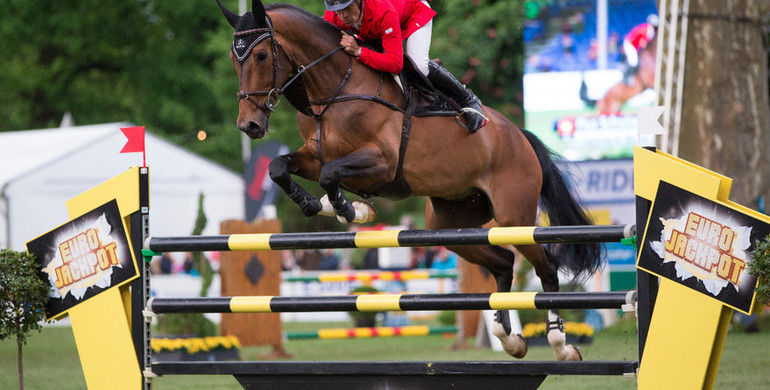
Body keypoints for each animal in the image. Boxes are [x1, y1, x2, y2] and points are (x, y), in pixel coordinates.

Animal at [216, 0, 600, 362]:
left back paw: (560, 344)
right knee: (504, 262)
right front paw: (320, 205)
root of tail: (518, 135)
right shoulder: (314, 155)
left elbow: (330, 175)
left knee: (546, 266)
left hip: (513, 216)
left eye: (262, 55)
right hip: (450, 224)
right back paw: (509, 339)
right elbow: (279, 168)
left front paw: (350, 210)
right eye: (234, 60)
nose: (249, 126)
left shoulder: (383, 164)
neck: (335, 87)